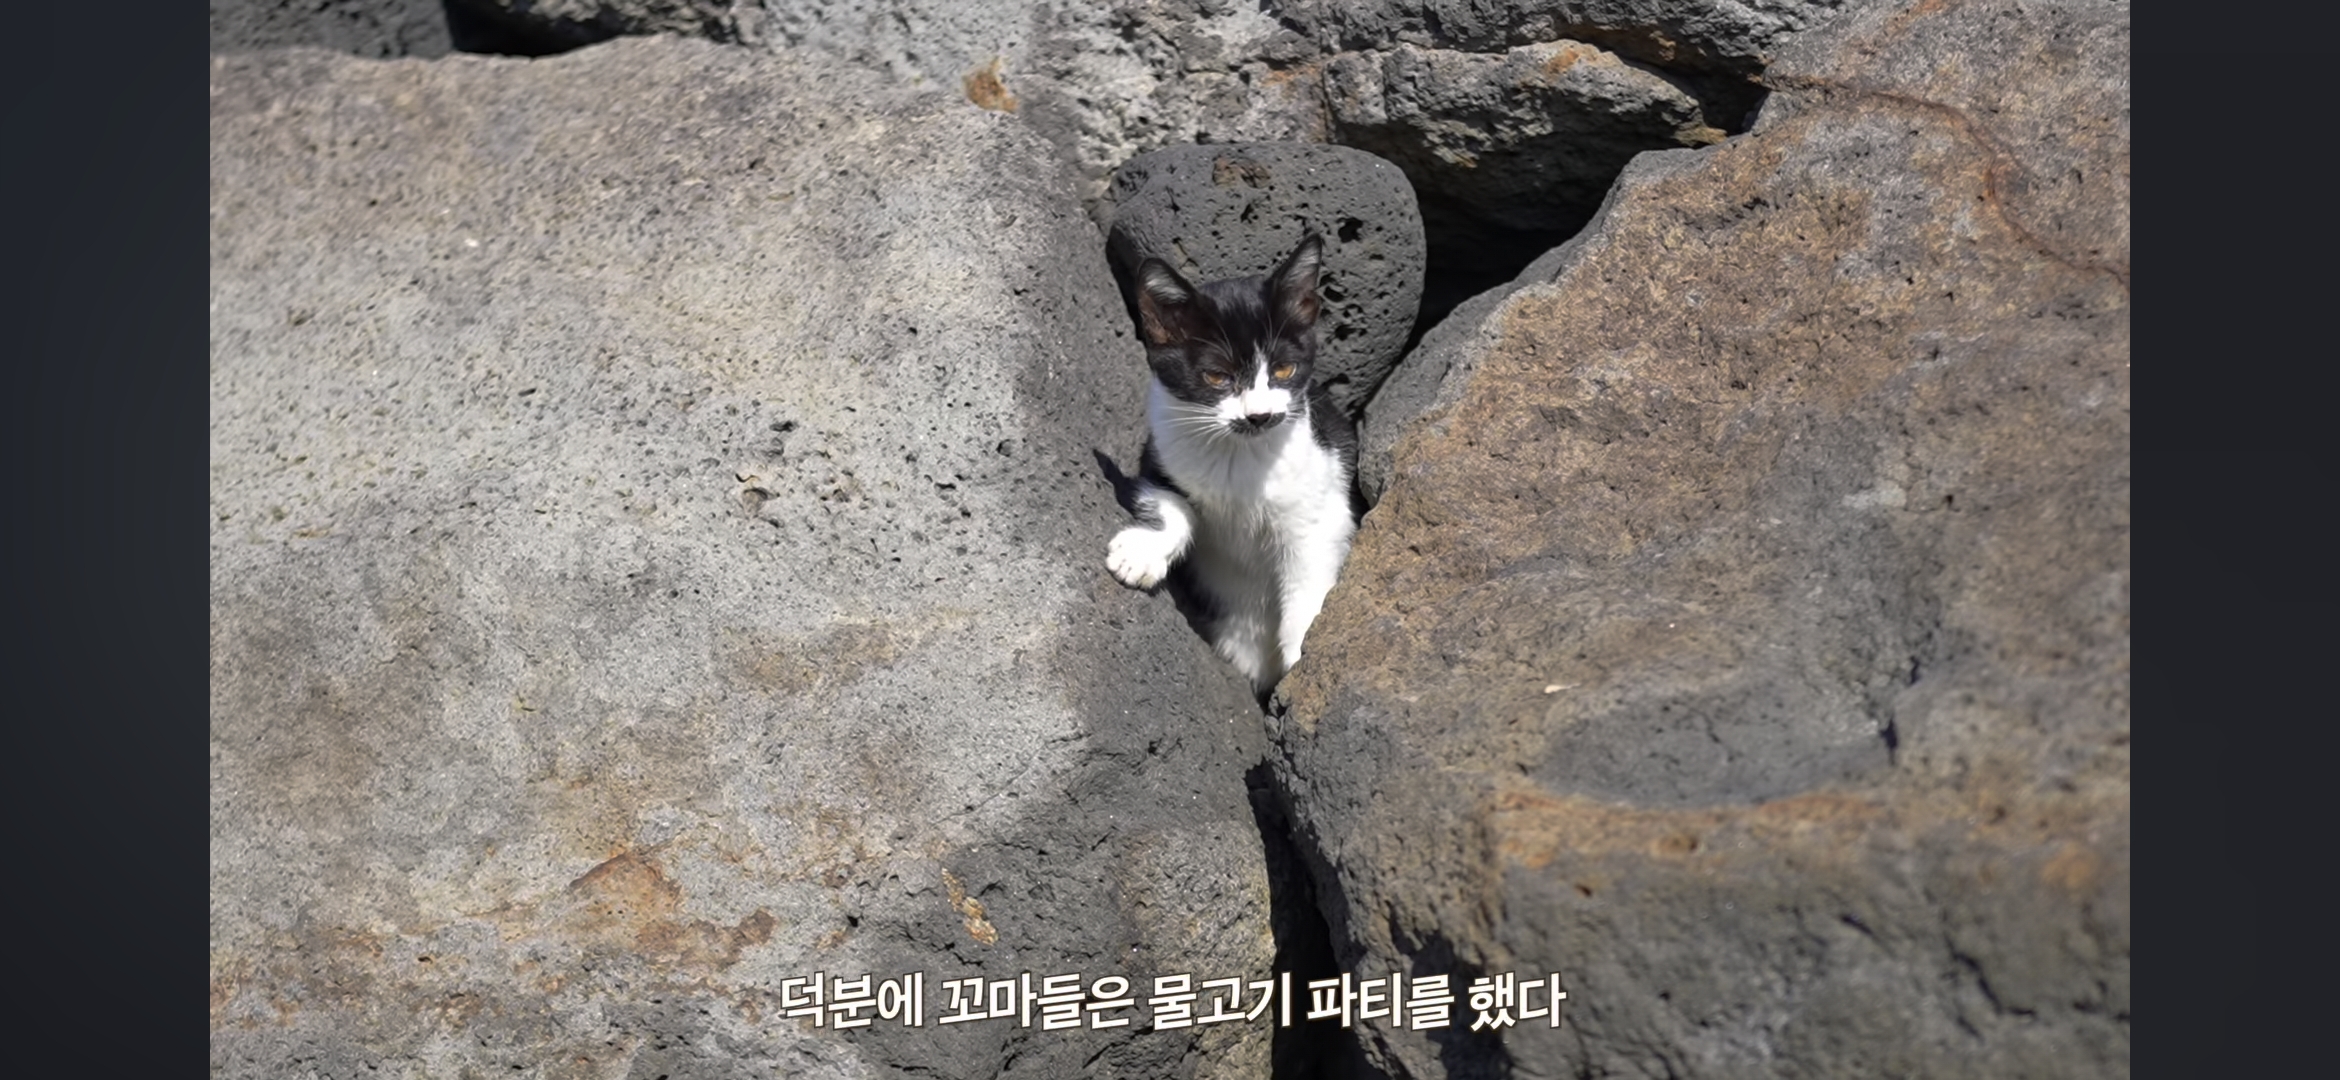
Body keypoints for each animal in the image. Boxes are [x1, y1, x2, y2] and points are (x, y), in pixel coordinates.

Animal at [1106, 233, 1361, 699]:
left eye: (1284, 369)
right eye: (1217, 377)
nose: (1259, 415)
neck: (1238, 455)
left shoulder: (1323, 498)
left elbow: (1308, 569)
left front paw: (1303, 652)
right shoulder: (1157, 457)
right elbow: (1177, 507)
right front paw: (1142, 554)